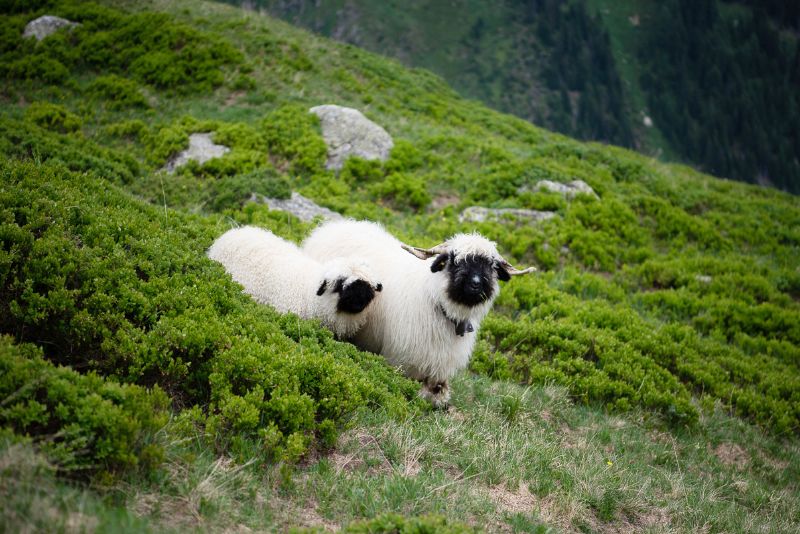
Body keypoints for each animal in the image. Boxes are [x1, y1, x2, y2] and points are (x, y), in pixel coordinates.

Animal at [302, 220, 535, 407]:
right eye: (454, 261)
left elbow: (439, 394)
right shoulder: (400, 361)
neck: (439, 305)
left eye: (491, 266)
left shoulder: (439, 370)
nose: (476, 284)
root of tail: (333, 225)